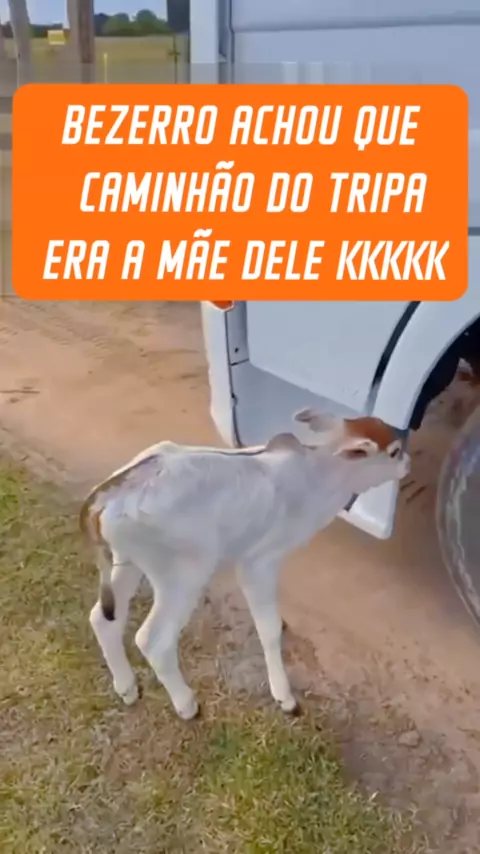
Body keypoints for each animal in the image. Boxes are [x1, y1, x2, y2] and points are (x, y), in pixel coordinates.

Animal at [79, 409, 410, 719]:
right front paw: (284, 697)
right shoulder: (259, 563)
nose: (407, 463)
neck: (316, 479)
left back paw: (127, 688)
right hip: (183, 574)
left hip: (128, 562)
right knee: (153, 640)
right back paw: (186, 705)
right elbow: (269, 629)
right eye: (393, 451)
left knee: (103, 618)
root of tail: (107, 496)